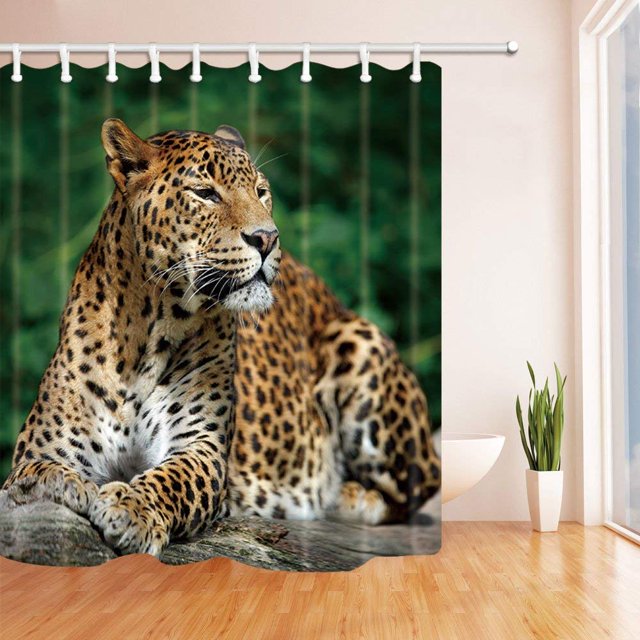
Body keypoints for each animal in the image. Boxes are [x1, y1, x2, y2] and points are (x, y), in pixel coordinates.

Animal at [3, 119, 440, 557]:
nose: (268, 238)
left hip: (358, 341)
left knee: (420, 484)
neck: (147, 332)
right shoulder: (41, 447)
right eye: (205, 193)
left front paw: (131, 508)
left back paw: (347, 496)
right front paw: (60, 484)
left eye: (261, 192)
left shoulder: (201, 449)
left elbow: (172, 480)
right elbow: (33, 472)